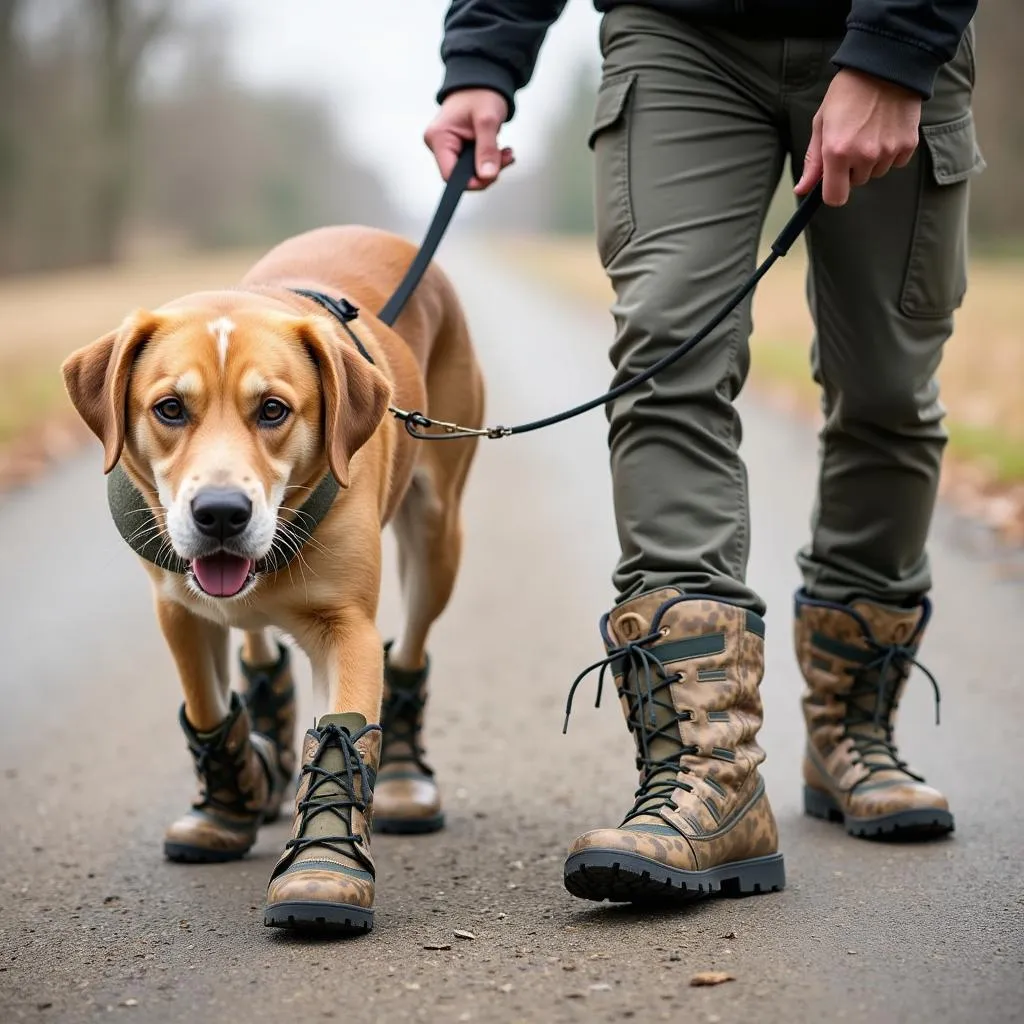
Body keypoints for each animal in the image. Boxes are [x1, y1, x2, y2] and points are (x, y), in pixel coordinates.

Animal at [61, 226, 485, 937]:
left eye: (273, 410)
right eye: (169, 409)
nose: (221, 514)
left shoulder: (348, 628)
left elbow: (343, 728)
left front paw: (322, 866)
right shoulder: (178, 608)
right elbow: (206, 704)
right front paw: (231, 802)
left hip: (436, 535)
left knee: (411, 645)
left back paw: (402, 776)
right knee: (256, 641)